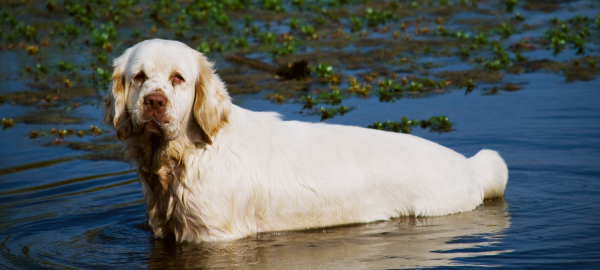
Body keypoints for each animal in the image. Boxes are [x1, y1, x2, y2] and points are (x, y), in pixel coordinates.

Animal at [102, 39, 506, 243]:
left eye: (178, 78)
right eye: (139, 77)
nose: (155, 102)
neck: (187, 155)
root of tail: (469, 165)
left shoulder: (215, 236)